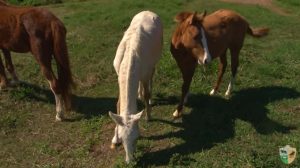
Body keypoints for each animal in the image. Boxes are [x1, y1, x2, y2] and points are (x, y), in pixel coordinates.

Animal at [109, 10, 163, 164]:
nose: (129, 161)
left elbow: (146, 93)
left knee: (152, 77)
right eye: (122, 139)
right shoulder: (117, 73)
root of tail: (148, 11)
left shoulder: (145, 73)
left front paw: (148, 116)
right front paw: (114, 139)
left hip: (154, 61)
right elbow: (118, 103)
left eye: (137, 138)